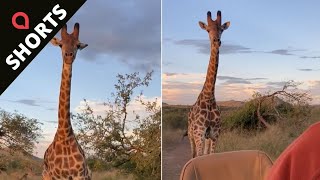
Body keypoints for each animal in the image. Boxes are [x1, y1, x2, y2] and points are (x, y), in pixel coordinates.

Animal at [41, 22, 91, 180]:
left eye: (77, 45)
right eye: (60, 45)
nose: (68, 56)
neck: (65, 135)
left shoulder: (80, 175)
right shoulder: (57, 176)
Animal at [188, 10, 230, 158]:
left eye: (221, 29)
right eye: (207, 30)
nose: (216, 41)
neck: (209, 96)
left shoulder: (214, 134)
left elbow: (209, 156)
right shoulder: (199, 133)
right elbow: (198, 156)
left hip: (205, 137)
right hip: (191, 135)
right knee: (193, 154)